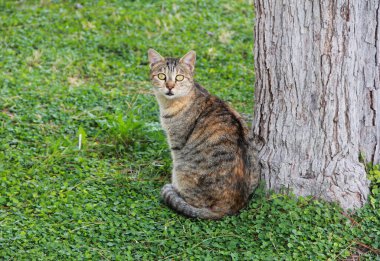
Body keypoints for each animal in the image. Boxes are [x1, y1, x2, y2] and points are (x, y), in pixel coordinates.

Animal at [147, 48, 260, 217]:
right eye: (162, 76)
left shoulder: (176, 143)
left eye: (179, 77)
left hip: (181, 168)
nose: (170, 87)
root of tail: (228, 208)